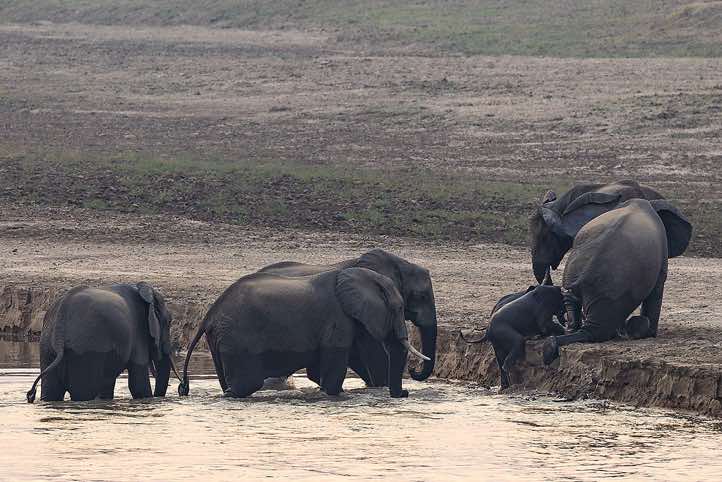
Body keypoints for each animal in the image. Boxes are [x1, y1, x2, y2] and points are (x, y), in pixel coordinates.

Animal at [26, 283, 180, 402]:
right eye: (169, 322)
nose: (181, 388)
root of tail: (61, 314)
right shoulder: (138, 332)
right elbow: (138, 385)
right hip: (85, 350)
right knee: (83, 393)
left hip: (47, 347)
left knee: (51, 393)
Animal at [178, 262, 433, 399]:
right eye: (398, 308)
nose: (405, 393)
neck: (360, 274)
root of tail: (209, 316)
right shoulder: (336, 319)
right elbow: (332, 373)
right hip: (237, 338)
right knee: (246, 384)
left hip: (220, 339)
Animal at [542, 198, 692, 364]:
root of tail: (582, 277)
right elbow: (657, 289)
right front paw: (651, 334)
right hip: (610, 293)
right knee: (600, 328)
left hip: (573, 276)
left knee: (571, 303)